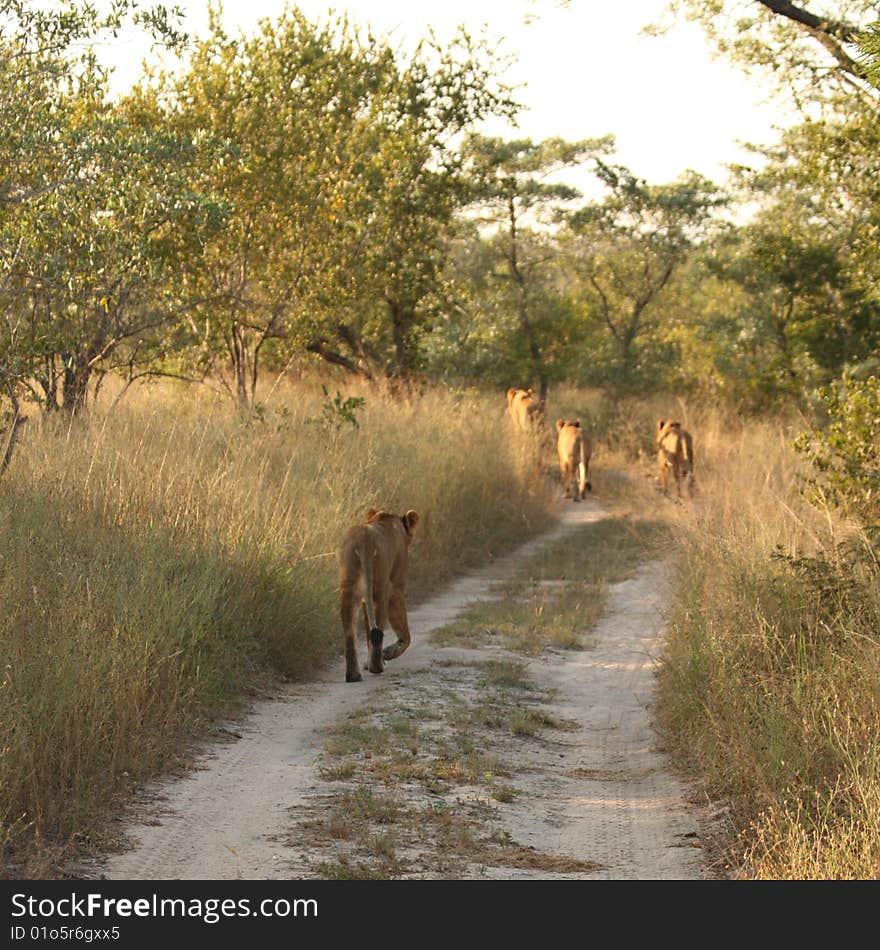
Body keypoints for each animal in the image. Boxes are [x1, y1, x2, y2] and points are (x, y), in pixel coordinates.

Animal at [336, 510, 420, 680]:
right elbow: (405, 633)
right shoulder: (397, 588)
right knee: (378, 628)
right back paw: (377, 666)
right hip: (381, 588)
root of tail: (364, 539)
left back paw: (354, 675)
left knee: (350, 633)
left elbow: (368, 627)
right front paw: (388, 653)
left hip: (348, 588)